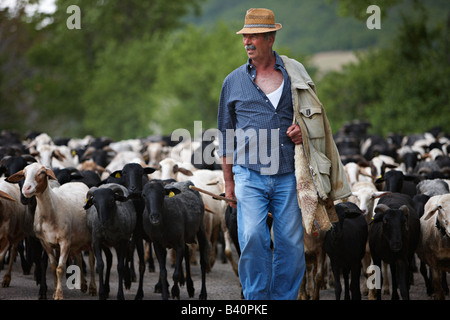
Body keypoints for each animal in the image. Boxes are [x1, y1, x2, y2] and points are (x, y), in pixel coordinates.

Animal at [6, 162, 96, 300]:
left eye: (42, 173)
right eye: (24, 174)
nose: (26, 189)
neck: (51, 211)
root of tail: (79, 183)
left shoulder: (65, 242)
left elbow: (60, 268)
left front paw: (58, 294)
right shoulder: (45, 242)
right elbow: (53, 266)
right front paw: (53, 292)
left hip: (90, 239)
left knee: (91, 261)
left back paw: (92, 288)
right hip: (77, 238)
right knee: (79, 257)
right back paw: (83, 285)